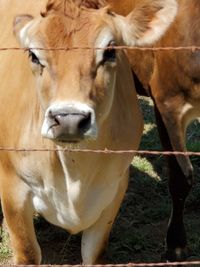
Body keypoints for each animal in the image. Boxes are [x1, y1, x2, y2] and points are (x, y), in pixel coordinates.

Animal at [0, 0, 177, 264]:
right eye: (33, 55)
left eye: (110, 52)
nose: (69, 119)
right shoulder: (13, 189)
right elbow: (28, 253)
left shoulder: (113, 191)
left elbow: (94, 253)